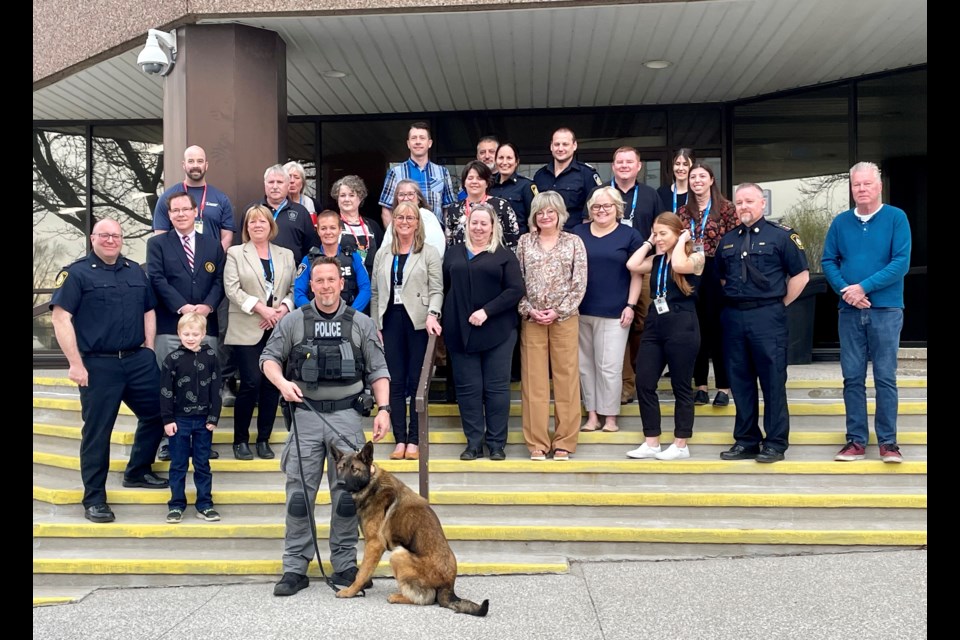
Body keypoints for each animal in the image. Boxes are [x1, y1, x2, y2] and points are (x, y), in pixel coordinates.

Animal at [332, 442, 496, 616]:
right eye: (341, 468)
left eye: (354, 469)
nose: (340, 483)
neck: (371, 483)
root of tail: (449, 586)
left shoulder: (374, 544)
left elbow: (362, 573)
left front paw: (350, 591)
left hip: (398, 555)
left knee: (426, 598)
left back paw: (398, 597)